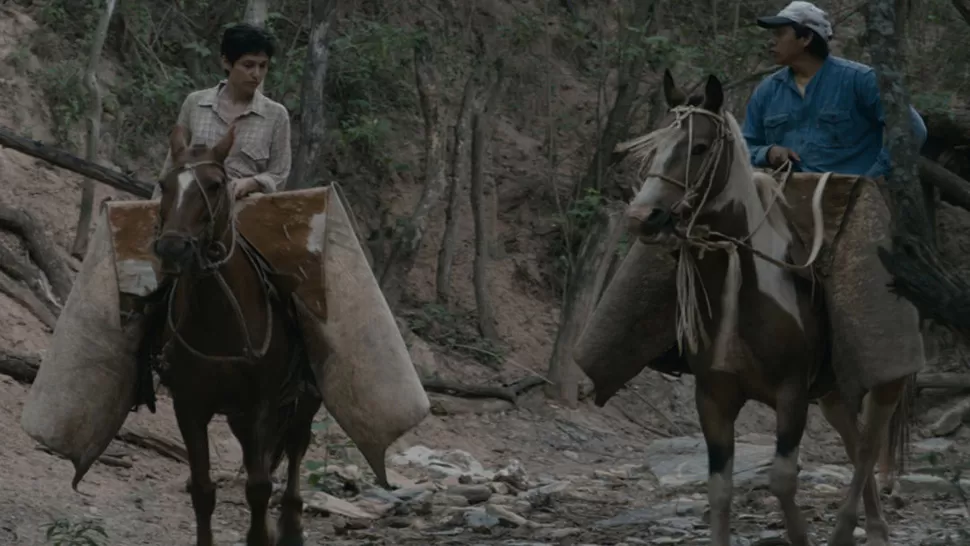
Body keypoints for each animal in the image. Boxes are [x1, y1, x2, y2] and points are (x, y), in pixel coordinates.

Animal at [138, 123, 324, 544]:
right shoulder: (189, 405)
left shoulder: (263, 404)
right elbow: (203, 490)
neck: (219, 319)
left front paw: (262, 535)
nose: (172, 247)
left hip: (304, 399)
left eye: (215, 184)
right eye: (165, 183)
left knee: (295, 450)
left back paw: (290, 528)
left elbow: (258, 487)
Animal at [624, 69, 912, 544]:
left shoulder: (791, 392)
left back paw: (850, 529)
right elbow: (719, 490)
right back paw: (873, 528)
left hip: (883, 382)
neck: (741, 288)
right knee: (855, 444)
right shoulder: (714, 396)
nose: (642, 217)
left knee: (869, 445)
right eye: (656, 145)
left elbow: (782, 480)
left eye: (699, 147)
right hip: (832, 392)